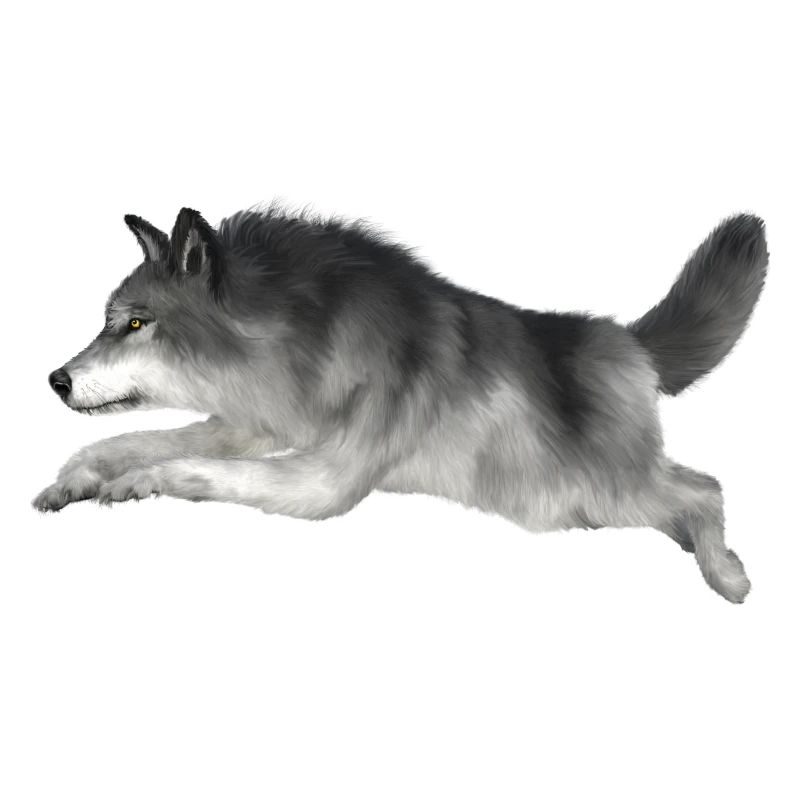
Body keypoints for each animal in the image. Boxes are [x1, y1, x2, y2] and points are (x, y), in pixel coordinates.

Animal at [33, 206, 768, 602]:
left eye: (135, 323)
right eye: (110, 322)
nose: (55, 380)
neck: (305, 337)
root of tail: (630, 341)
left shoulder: (324, 481)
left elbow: (194, 469)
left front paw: (133, 484)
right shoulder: (254, 425)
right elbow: (131, 441)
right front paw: (75, 479)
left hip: (592, 493)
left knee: (705, 488)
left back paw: (728, 575)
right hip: (586, 503)